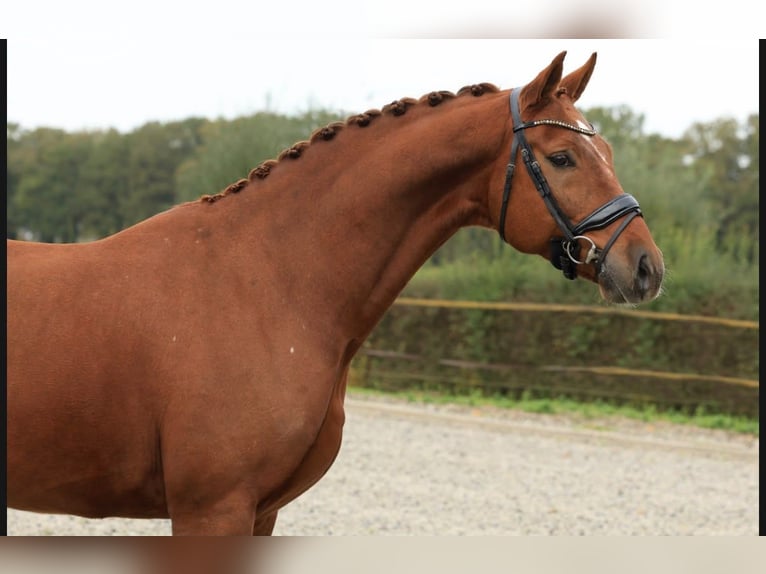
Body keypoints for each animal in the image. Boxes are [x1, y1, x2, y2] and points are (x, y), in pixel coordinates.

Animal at [7, 51, 664, 535]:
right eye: (563, 157)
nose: (645, 268)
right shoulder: (212, 510)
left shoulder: (261, 512)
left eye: (606, 151)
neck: (269, 281)